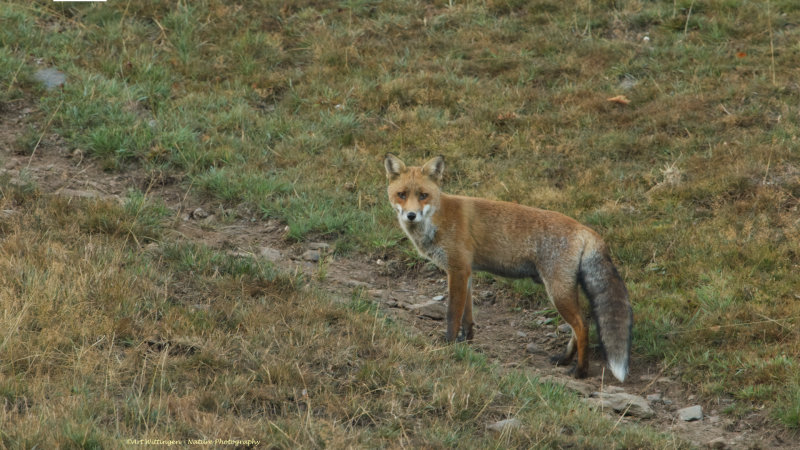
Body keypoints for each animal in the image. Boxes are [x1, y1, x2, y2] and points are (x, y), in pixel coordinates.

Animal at [384, 153, 636, 382]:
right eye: (402, 194)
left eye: (423, 195)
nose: (411, 215)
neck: (438, 219)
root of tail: (585, 229)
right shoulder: (467, 272)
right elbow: (468, 314)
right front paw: (467, 341)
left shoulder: (457, 270)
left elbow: (452, 314)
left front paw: (448, 344)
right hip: (566, 291)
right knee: (580, 326)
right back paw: (564, 359)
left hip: (557, 292)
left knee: (582, 326)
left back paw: (580, 371)